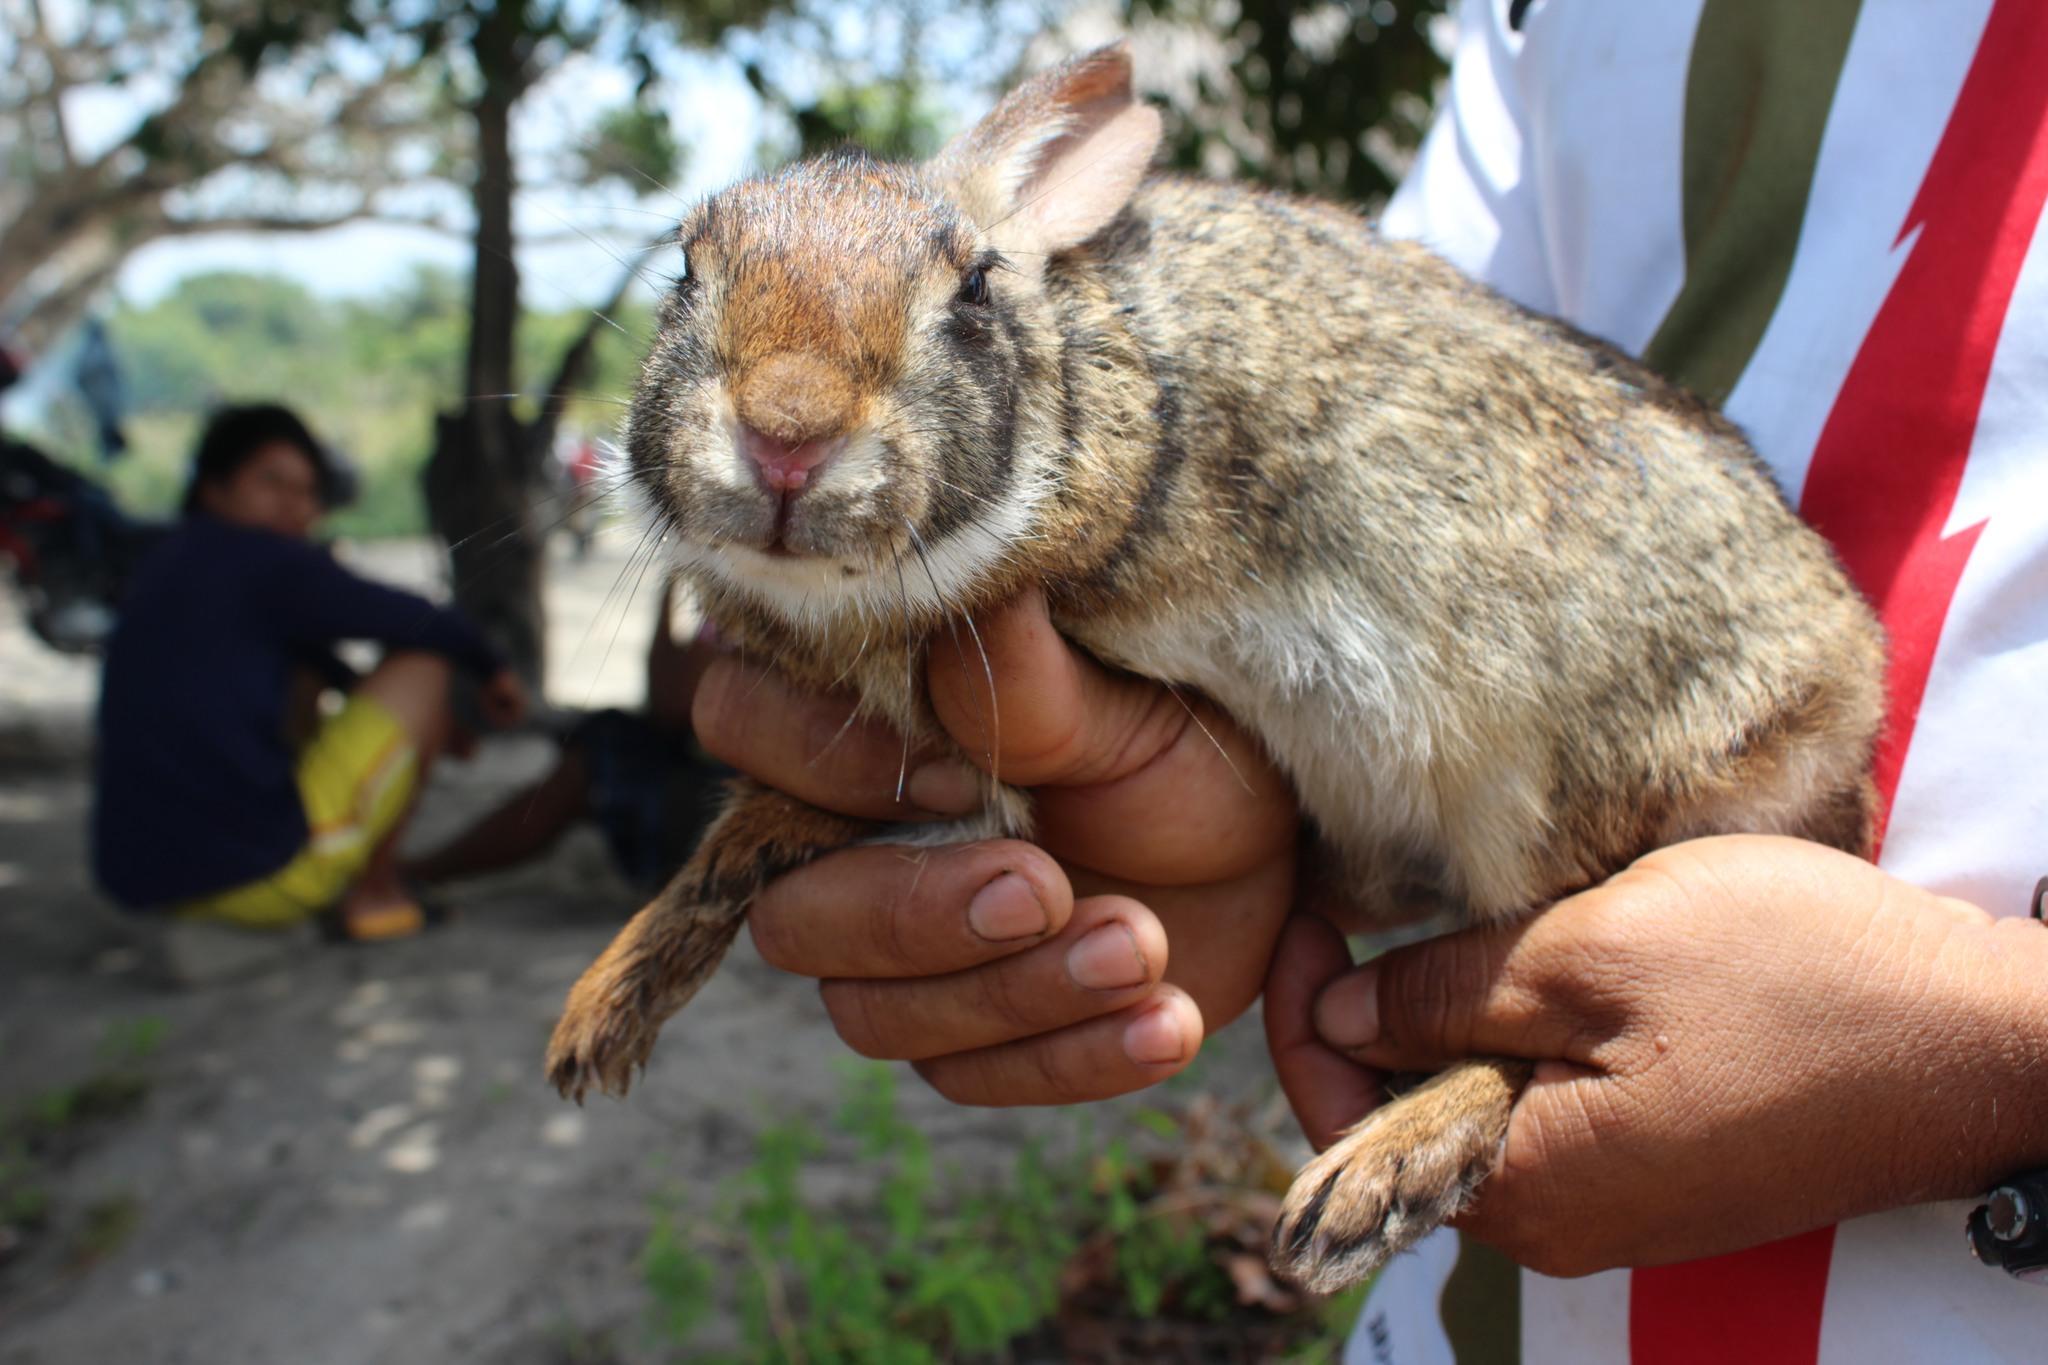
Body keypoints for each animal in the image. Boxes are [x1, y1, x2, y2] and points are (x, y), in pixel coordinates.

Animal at [543, 44, 1885, 1294]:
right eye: (686, 270)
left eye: (970, 292)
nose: (787, 432)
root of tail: (1841, 704)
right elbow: (758, 835)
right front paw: (604, 1006)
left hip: (1549, 779)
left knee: (1537, 1000)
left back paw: (1374, 1176)